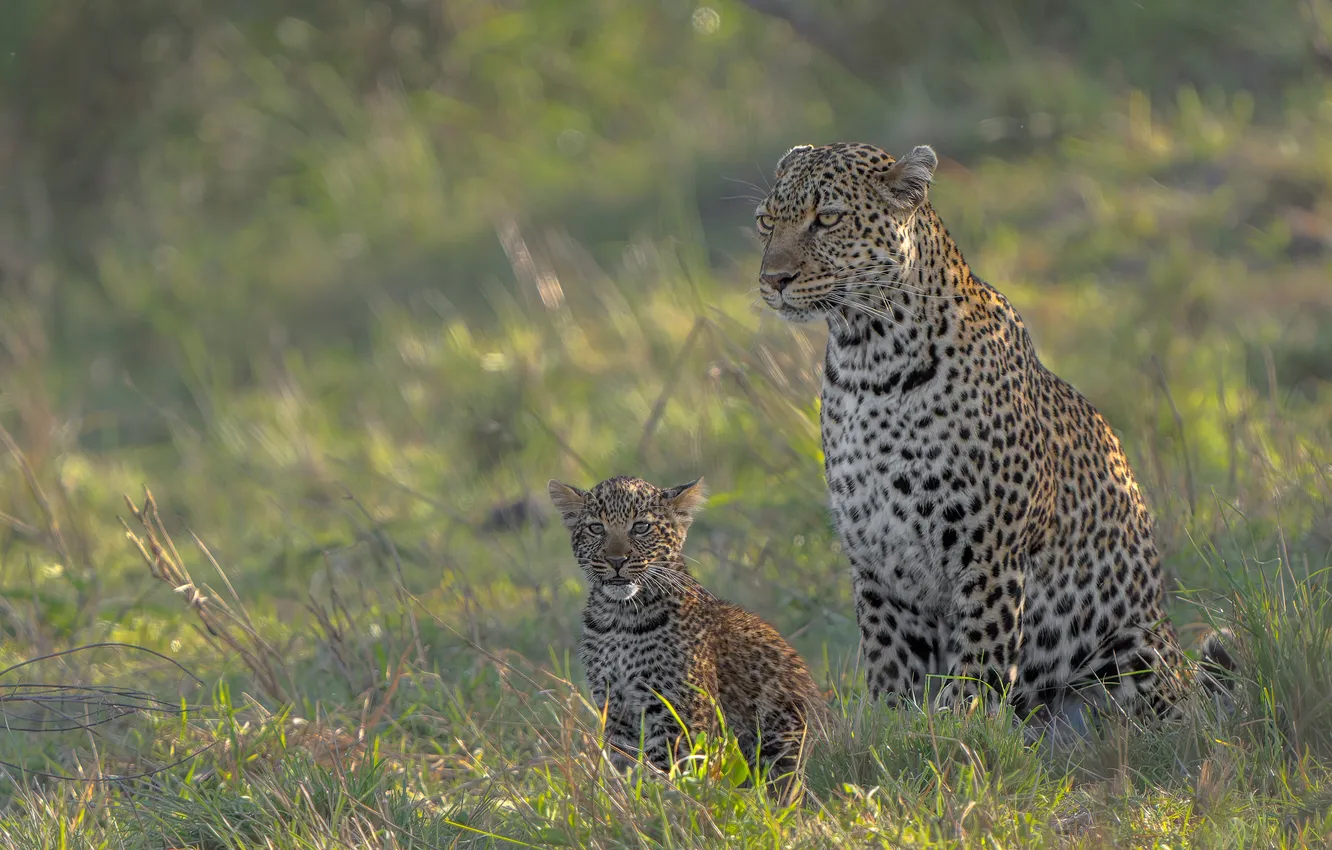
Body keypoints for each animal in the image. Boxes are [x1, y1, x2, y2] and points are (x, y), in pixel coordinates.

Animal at [548, 474, 825, 800]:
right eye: (596, 528)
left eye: (641, 527)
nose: (617, 560)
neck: (620, 618)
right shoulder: (616, 710)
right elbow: (626, 767)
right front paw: (631, 801)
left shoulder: (678, 711)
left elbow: (671, 771)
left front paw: (666, 802)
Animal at [752, 141, 1233, 737]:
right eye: (766, 222)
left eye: (828, 219)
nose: (774, 279)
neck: (868, 361)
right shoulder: (876, 560)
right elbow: (890, 663)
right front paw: (890, 726)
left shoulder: (989, 553)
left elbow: (979, 659)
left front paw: (960, 728)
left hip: (1134, 651)